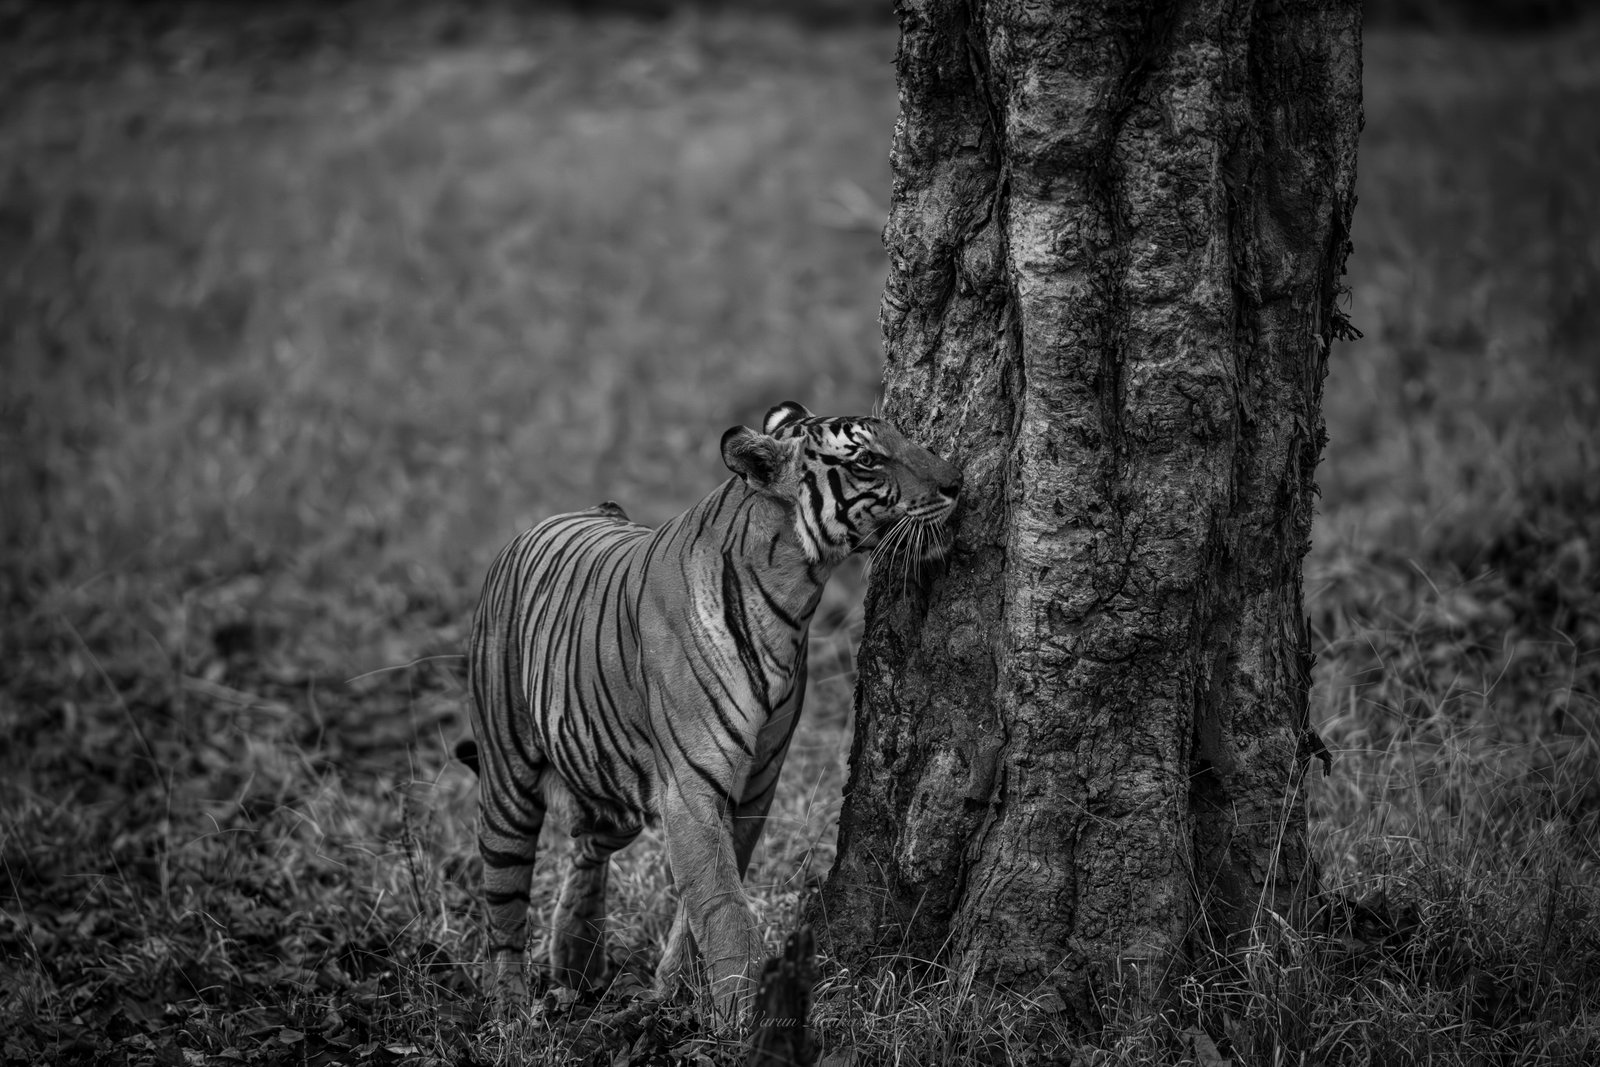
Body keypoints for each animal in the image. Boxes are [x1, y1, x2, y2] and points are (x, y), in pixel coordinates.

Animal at [458, 401, 961, 1021]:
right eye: (867, 459)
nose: (958, 482)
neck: (796, 596)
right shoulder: (691, 785)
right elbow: (720, 902)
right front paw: (748, 1010)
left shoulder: (756, 783)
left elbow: (712, 887)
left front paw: (676, 988)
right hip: (507, 776)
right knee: (502, 898)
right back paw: (509, 1008)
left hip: (608, 784)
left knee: (586, 848)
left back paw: (576, 964)